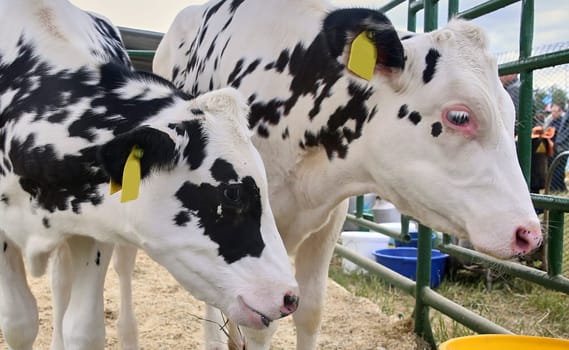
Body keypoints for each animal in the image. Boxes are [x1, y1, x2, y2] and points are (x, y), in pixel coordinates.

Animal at [151, 1, 536, 348]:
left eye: (511, 115)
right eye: (459, 116)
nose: (529, 233)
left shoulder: (330, 219)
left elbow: (310, 310)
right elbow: (261, 325)